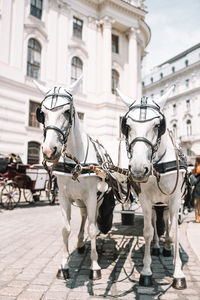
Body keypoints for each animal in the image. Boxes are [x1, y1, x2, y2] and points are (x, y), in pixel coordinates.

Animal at [33, 76, 115, 280]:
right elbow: (66, 229)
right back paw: (79, 243)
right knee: (84, 216)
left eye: (66, 111)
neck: (76, 163)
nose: (49, 150)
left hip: (96, 198)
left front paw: (95, 266)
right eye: (42, 113)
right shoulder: (64, 197)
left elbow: (92, 229)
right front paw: (64, 265)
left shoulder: (92, 196)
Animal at [117, 86, 188, 288]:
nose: (139, 169)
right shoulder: (146, 200)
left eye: (158, 125)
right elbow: (148, 231)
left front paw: (178, 273)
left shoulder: (175, 199)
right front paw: (147, 272)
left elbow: (174, 231)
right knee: (157, 222)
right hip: (157, 203)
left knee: (167, 221)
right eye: (127, 126)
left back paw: (167, 247)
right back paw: (157, 246)